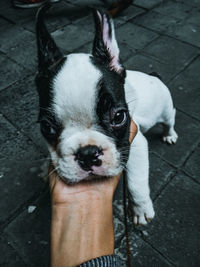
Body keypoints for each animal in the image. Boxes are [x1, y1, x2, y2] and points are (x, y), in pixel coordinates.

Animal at [35, 4, 177, 226]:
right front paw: (44, 168)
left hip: (166, 109)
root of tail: (154, 77)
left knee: (170, 119)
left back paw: (169, 135)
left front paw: (140, 209)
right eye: (46, 127)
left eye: (118, 117)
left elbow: (136, 181)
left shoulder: (135, 141)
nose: (87, 153)